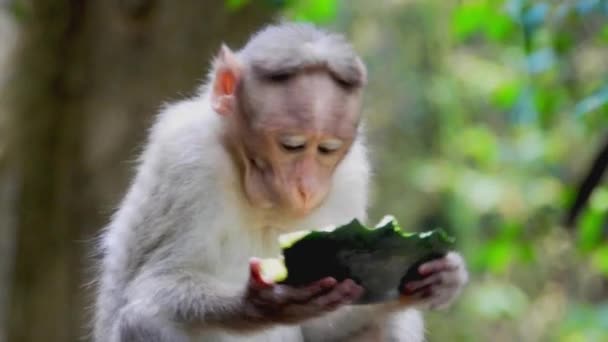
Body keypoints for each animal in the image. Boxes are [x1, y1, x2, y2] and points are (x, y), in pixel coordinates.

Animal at [92, 22, 468, 340]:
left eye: (327, 149)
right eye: (292, 145)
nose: (307, 187)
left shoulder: (351, 175)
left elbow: (326, 324)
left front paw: (446, 277)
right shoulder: (187, 154)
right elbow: (155, 283)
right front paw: (259, 304)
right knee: (143, 319)